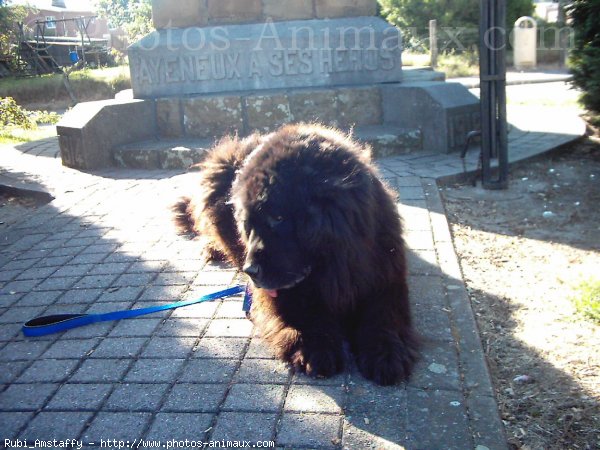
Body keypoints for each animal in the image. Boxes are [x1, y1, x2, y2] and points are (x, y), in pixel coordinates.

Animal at [173, 124, 418, 386]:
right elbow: (304, 314)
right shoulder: (279, 292)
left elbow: (384, 316)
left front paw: (387, 353)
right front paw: (315, 349)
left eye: (277, 218)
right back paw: (211, 247)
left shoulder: (384, 279)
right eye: (247, 224)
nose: (250, 271)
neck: (336, 265)